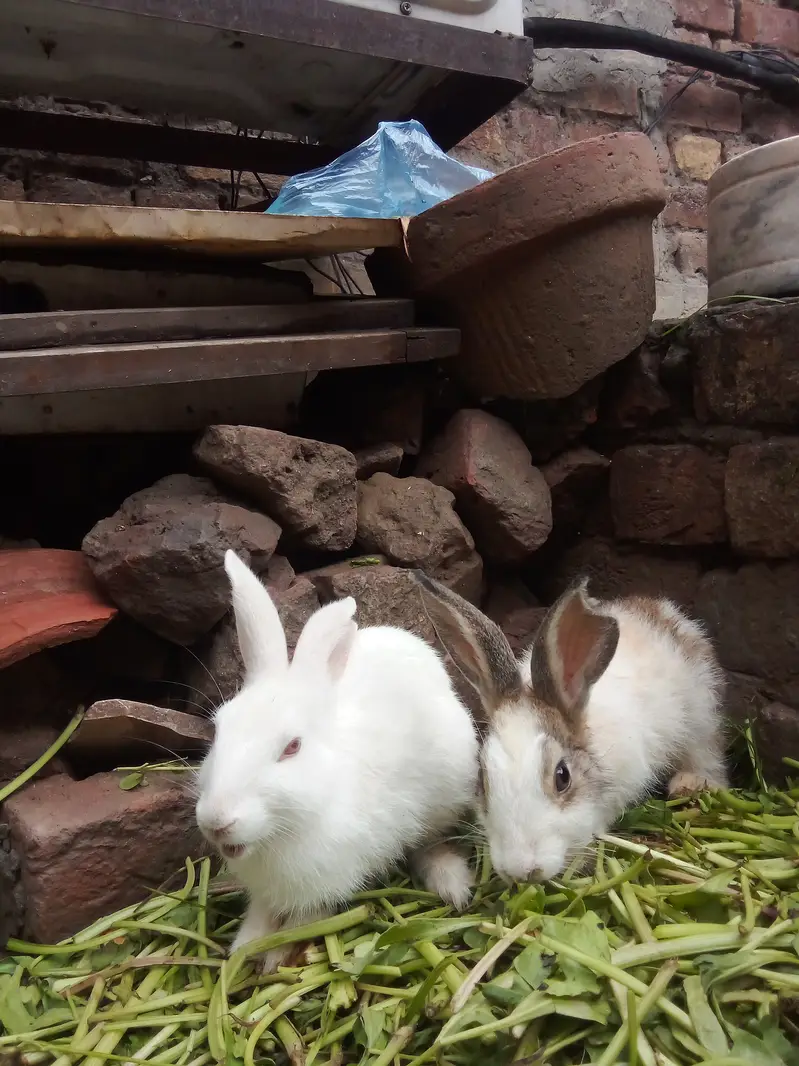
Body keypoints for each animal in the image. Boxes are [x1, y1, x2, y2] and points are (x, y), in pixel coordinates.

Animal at [195, 551, 479, 970]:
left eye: (292, 747)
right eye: (217, 731)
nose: (216, 821)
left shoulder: (330, 881)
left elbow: (302, 922)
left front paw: (274, 957)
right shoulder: (265, 891)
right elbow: (260, 915)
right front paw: (244, 948)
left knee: (429, 842)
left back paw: (451, 883)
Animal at [413, 571, 728, 884]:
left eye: (562, 777)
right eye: (482, 780)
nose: (522, 871)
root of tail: (659, 609)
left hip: (701, 715)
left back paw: (690, 784)